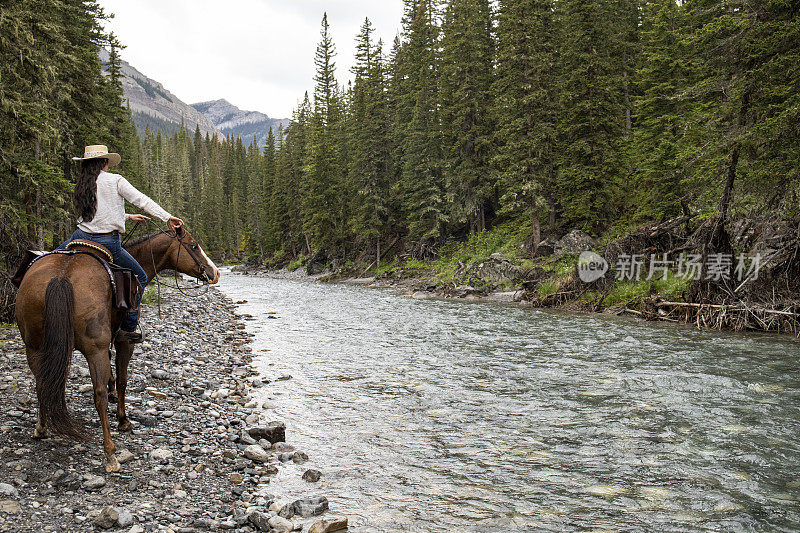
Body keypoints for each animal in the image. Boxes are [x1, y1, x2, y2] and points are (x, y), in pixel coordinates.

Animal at [15, 227, 220, 472]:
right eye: (193, 245)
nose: (215, 272)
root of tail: (61, 276)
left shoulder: (109, 339)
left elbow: (112, 373)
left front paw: (113, 393)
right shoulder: (124, 341)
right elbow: (122, 380)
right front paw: (123, 419)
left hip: (34, 346)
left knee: (42, 384)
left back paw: (41, 427)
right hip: (93, 349)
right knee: (98, 395)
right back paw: (111, 454)